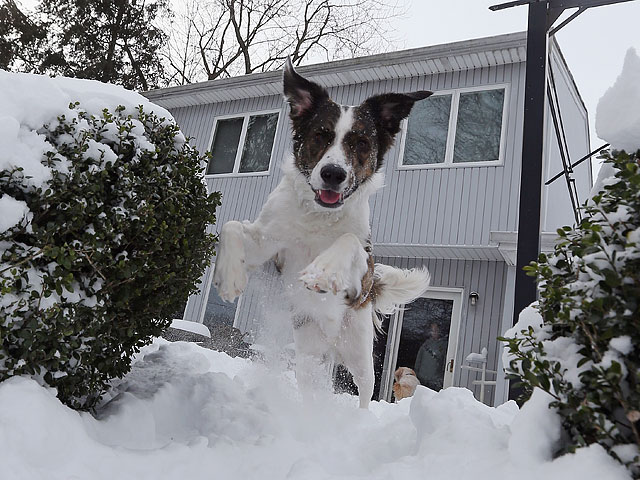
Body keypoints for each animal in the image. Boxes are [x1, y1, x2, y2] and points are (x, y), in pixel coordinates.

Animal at [214, 58, 430, 406]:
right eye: (321, 135)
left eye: (361, 142)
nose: (333, 174)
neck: (318, 216)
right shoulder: (268, 244)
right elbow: (230, 226)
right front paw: (231, 276)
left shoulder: (363, 267)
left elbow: (349, 240)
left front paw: (323, 272)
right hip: (309, 356)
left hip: (359, 354)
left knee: (364, 393)